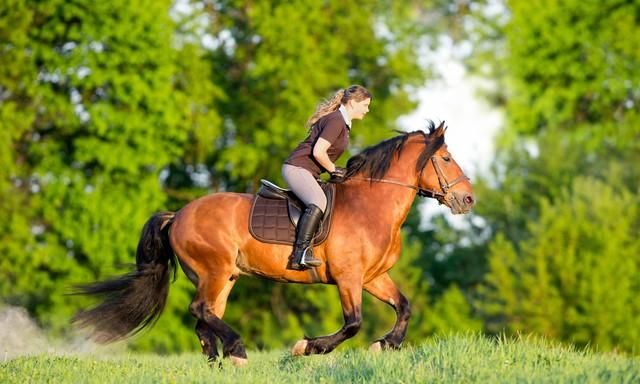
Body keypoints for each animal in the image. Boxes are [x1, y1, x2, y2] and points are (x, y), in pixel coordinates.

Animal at [75, 121, 476, 366]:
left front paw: (385, 345)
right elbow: (352, 324)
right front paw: (307, 347)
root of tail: (179, 214)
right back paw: (237, 351)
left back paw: (218, 361)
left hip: (223, 277)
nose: (469, 199)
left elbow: (404, 307)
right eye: (445, 158)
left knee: (205, 318)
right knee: (200, 310)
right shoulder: (349, 277)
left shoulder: (373, 277)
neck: (371, 205)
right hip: (214, 271)